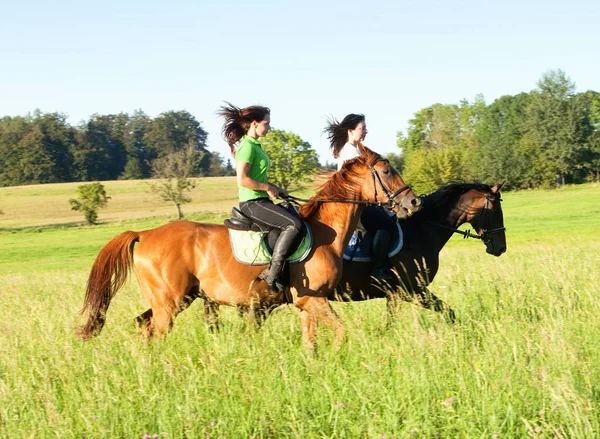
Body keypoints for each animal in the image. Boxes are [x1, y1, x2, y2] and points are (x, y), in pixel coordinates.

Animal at [76, 145, 422, 350]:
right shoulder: (313, 300)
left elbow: (311, 344)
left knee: (142, 326)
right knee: (153, 332)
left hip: (174, 301)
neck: (327, 231)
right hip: (169, 304)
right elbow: (340, 333)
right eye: (387, 170)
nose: (413, 202)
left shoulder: (308, 304)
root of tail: (145, 234)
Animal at [336, 180, 508, 324]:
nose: (501, 248)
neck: (419, 230)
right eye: (495, 211)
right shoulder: (412, 291)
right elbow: (449, 312)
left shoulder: (395, 295)